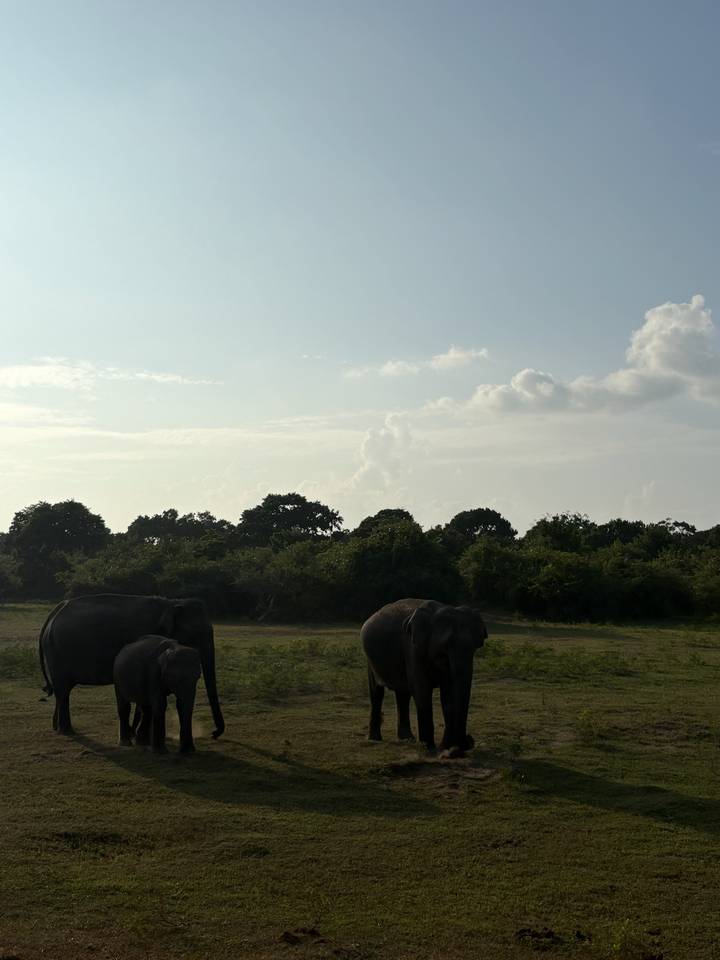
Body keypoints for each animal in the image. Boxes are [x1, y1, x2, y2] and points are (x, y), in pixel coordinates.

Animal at [38, 594, 224, 739]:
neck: (170, 604)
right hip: (57, 652)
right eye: (195, 634)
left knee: (62, 691)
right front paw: (137, 734)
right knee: (63, 691)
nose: (214, 733)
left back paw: (57, 727)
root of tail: (55, 611)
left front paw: (137, 733)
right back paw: (67, 731)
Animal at [361, 599, 487, 756]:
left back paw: (407, 739)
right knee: (377, 693)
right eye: (445, 647)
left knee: (403, 694)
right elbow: (421, 689)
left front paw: (445, 747)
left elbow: (447, 693)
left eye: (475, 648)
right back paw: (375, 739)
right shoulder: (413, 647)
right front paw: (430, 748)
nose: (468, 742)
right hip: (370, 660)